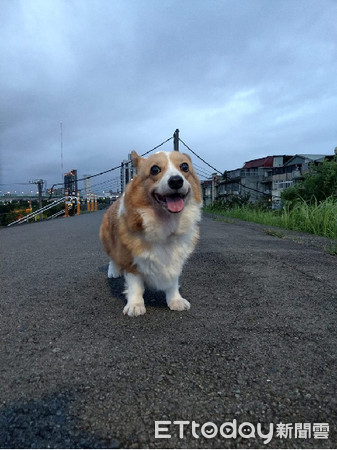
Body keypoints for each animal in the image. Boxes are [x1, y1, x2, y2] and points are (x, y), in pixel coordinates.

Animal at [98, 151, 201, 316]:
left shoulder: (175, 260)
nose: (176, 181)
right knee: (112, 257)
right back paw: (113, 271)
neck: (165, 224)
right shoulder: (131, 261)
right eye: (155, 169)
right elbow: (135, 286)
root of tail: (114, 200)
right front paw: (135, 305)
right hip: (108, 240)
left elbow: (173, 283)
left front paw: (176, 300)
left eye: (185, 167)